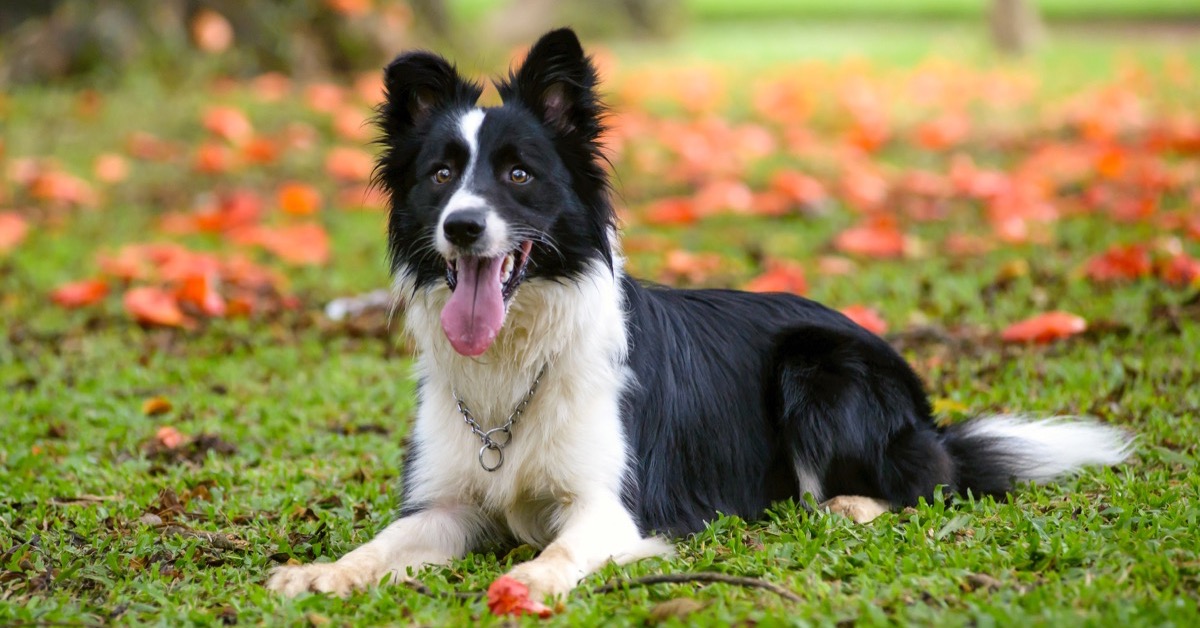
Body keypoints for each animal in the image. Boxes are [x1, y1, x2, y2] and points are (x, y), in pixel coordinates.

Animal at [270, 27, 1132, 602]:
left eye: (517, 174)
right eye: (442, 175)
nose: (462, 228)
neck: (519, 357)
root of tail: (924, 409)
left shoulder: (612, 507)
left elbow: (559, 553)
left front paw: (530, 582)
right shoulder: (447, 503)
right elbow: (383, 542)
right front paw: (321, 572)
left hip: (818, 367)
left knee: (922, 483)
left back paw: (847, 504)